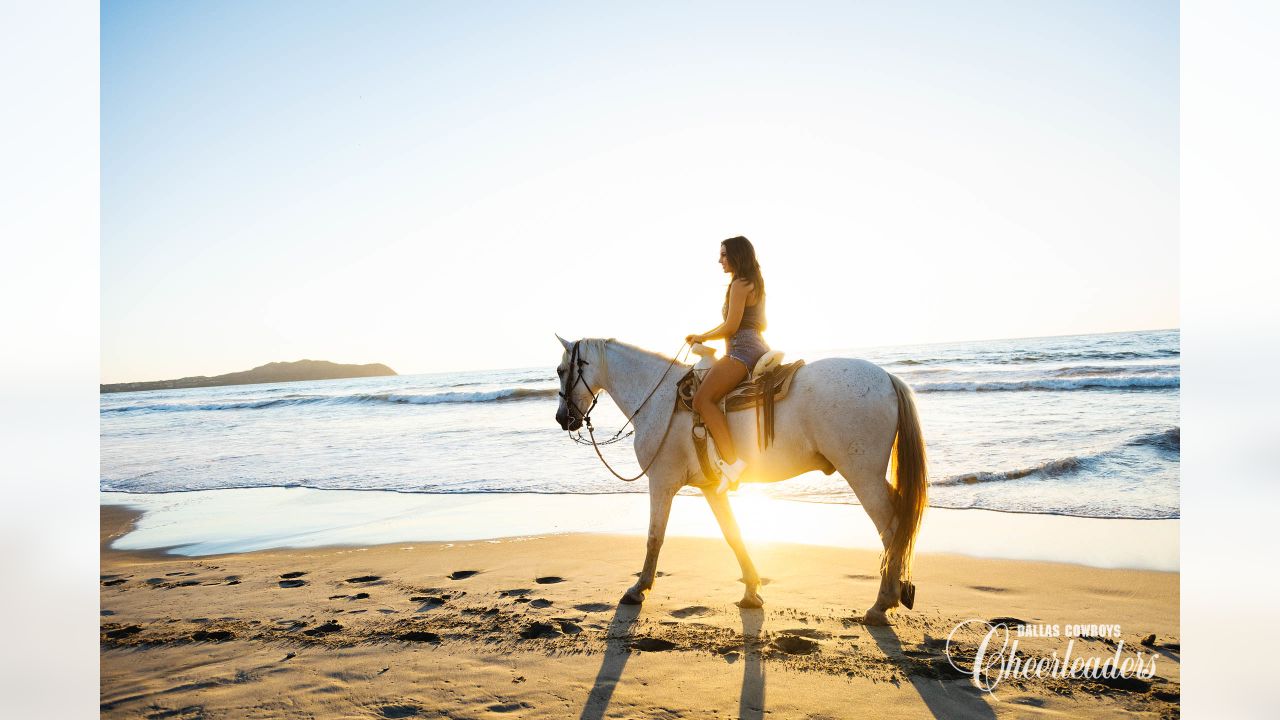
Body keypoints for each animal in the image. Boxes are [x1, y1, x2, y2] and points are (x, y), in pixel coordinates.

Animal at [555, 335, 926, 622]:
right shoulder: (710, 489)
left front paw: (638, 589)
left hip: (863, 475)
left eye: (560, 371)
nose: (563, 418)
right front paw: (751, 591)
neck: (660, 400)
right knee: (899, 526)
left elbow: (654, 538)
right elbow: (733, 536)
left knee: (892, 529)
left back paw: (881, 605)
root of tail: (887, 377)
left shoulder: (660, 482)